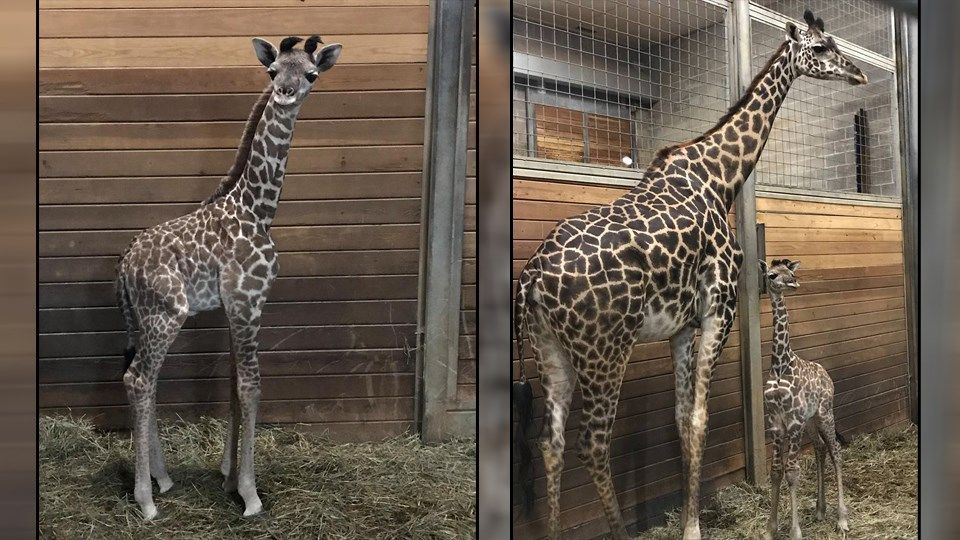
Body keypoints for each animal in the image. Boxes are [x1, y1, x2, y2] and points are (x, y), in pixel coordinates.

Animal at [115, 35, 342, 520]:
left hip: (141, 318)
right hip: (167, 314)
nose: (286, 94)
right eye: (273, 71)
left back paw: (163, 479)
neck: (258, 210)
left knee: (143, 380)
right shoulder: (248, 301)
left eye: (311, 74)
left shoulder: (235, 306)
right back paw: (146, 500)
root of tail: (122, 267)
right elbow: (251, 387)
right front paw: (250, 494)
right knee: (139, 379)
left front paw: (228, 477)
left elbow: (234, 388)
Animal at [760, 259, 848, 540]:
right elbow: (776, 471)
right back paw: (820, 510)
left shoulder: (794, 421)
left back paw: (842, 519)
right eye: (772, 275)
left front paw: (795, 531)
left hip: (825, 414)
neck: (780, 365)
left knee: (835, 450)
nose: (793, 283)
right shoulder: (776, 422)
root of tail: (828, 376)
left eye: (791, 271)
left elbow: (793, 472)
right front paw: (770, 529)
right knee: (820, 448)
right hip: (811, 421)